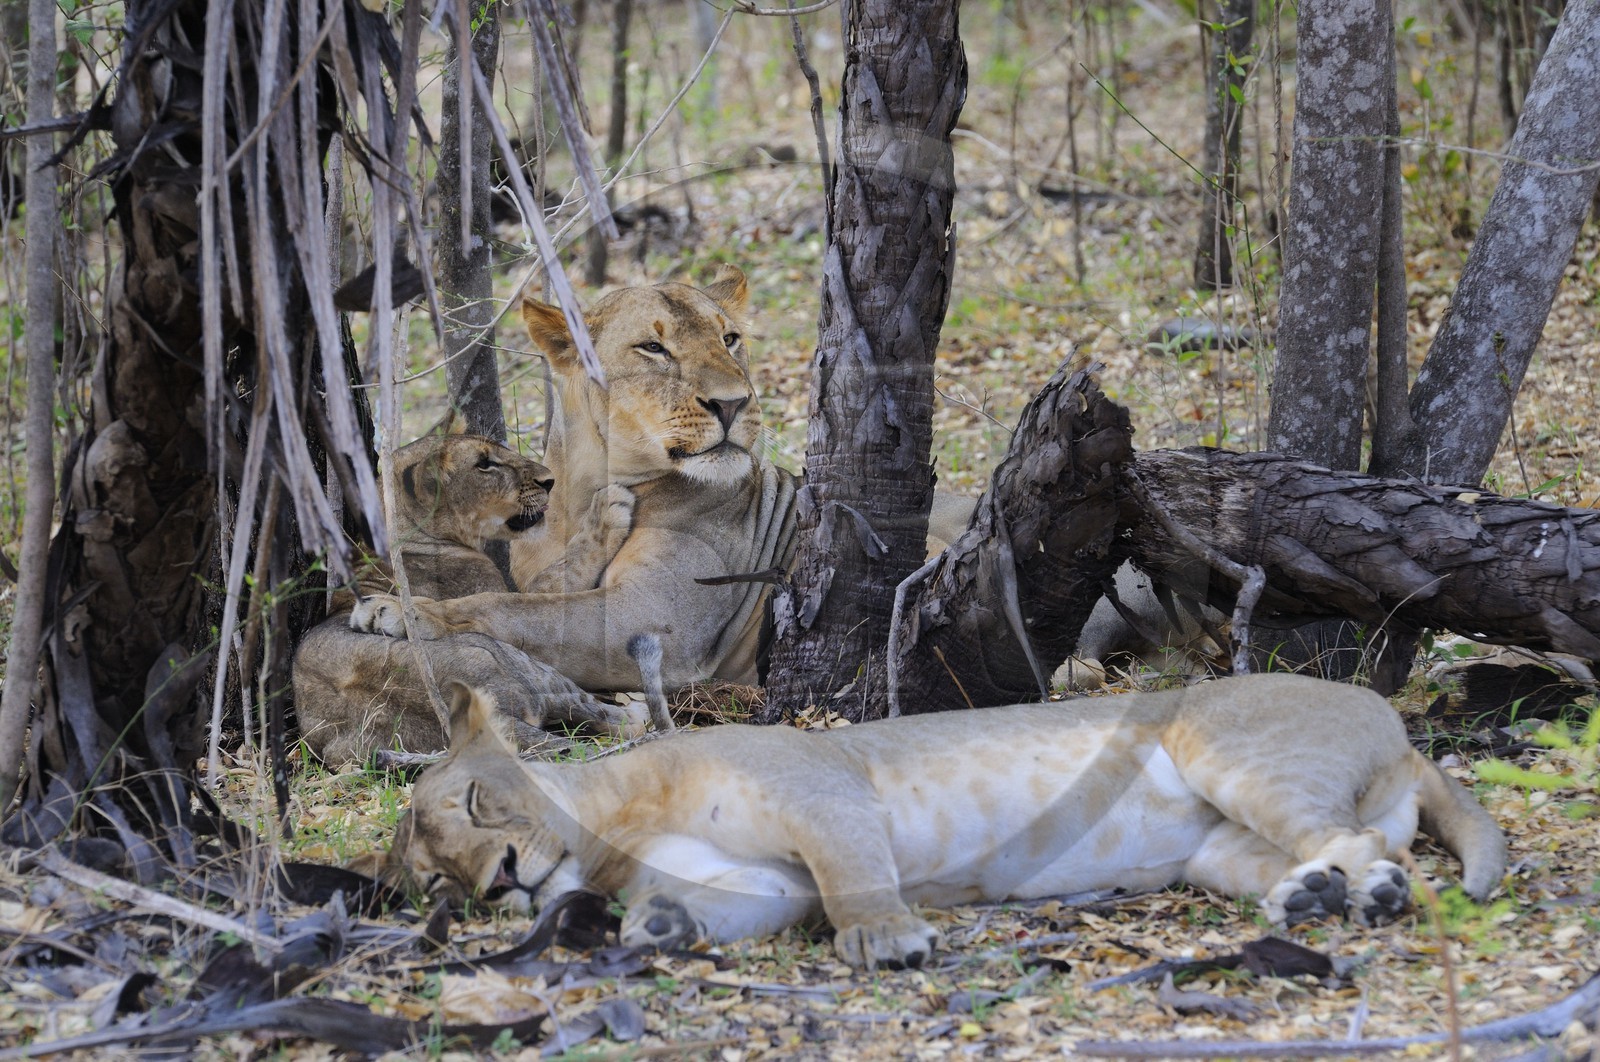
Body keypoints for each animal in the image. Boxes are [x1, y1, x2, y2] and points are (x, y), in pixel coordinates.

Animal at [293, 434, 641, 765]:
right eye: (484, 464)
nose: (549, 480)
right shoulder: (504, 590)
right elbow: (564, 570)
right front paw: (609, 509)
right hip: (525, 666)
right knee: (607, 716)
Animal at [400, 673, 1507, 970]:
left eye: (471, 804)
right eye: (435, 879)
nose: (499, 880)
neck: (610, 827)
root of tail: (1393, 722)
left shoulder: (822, 791)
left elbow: (853, 877)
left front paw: (886, 939)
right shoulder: (769, 881)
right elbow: (734, 902)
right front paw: (661, 926)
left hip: (1225, 749)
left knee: (1369, 843)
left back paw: (1359, 896)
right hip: (1218, 850)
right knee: (1342, 845)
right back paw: (1314, 897)